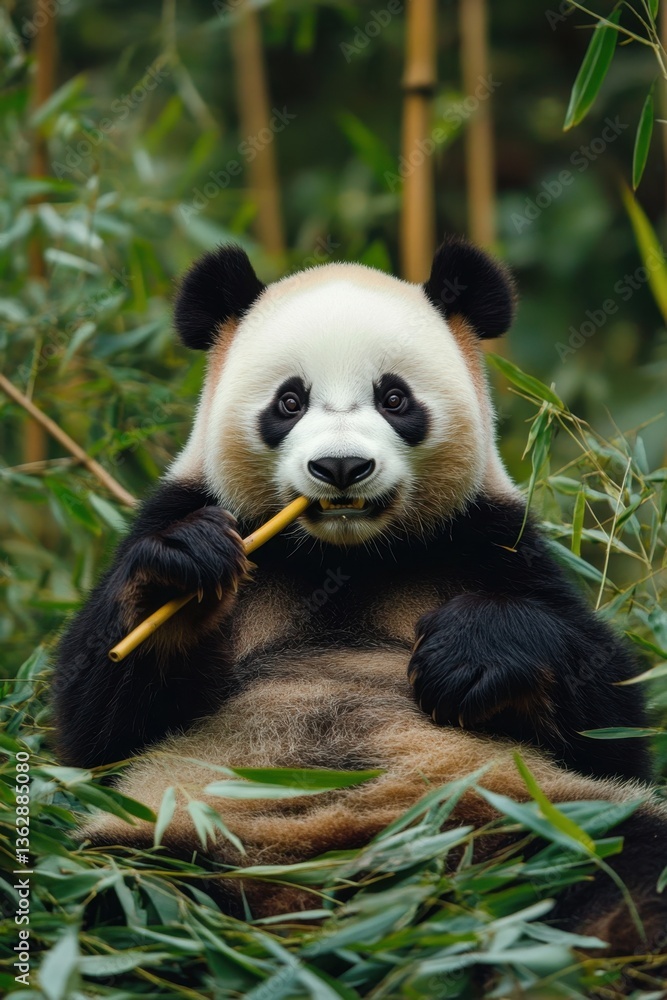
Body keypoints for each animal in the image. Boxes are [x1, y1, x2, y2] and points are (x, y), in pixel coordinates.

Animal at [53, 236, 667, 949]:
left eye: (394, 398)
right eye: (289, 402)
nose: (341, 467)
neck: (344, 558)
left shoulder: (491, 542)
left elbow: (611, 722)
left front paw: (470, 653)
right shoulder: (188, 509)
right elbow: (98, 730)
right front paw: (183, 567)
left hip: (532, 820)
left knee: (625, 867)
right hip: (170, 842)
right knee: (120, 901)